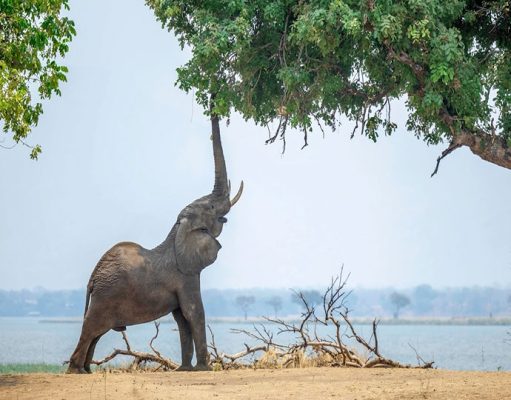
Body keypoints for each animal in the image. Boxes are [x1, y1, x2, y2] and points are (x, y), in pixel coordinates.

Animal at [67, 111, 243, 372]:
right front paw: (205, 369)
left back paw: (86, 370)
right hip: (105, 296)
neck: (177, 232)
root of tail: (92, 278)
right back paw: (75, 370)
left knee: (96, 334)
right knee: (91, 329)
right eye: (211, 207)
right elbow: (194, 313)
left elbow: (182, 319)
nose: (213, 107)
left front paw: (184, 370)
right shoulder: (186, 276)